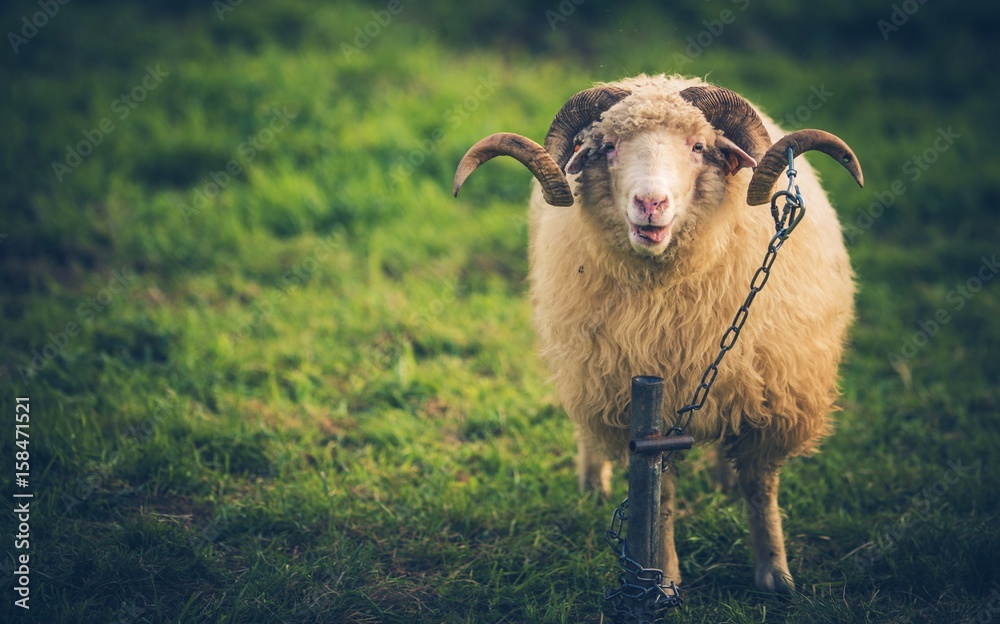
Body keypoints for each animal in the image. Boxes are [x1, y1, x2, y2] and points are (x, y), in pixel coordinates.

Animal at [453, 74, 864, 593]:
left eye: (699, 147)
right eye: (607, 146)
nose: (650, 203)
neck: (666, 296)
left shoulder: (772, 403)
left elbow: (760, 488)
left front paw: (775, 574)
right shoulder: (640, 405)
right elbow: (659, 496)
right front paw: (663, 579)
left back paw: (723, 480)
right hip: (587, 364)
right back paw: (592, 482)